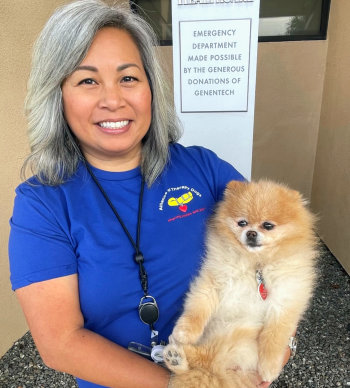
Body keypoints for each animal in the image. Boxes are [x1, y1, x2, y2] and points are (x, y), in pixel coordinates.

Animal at [163, 180, 318, 386]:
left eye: (268, 225)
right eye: (242, 222)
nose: (251, 233)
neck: (255, 264)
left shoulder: (285, 299)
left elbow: (274, 336)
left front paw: (269, 366)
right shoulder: (214, 281)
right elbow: (198, 309)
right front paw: (184, 331)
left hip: (239, 337)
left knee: (206, 361)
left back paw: (177, 357)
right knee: (204, 360)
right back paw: (175, 354)